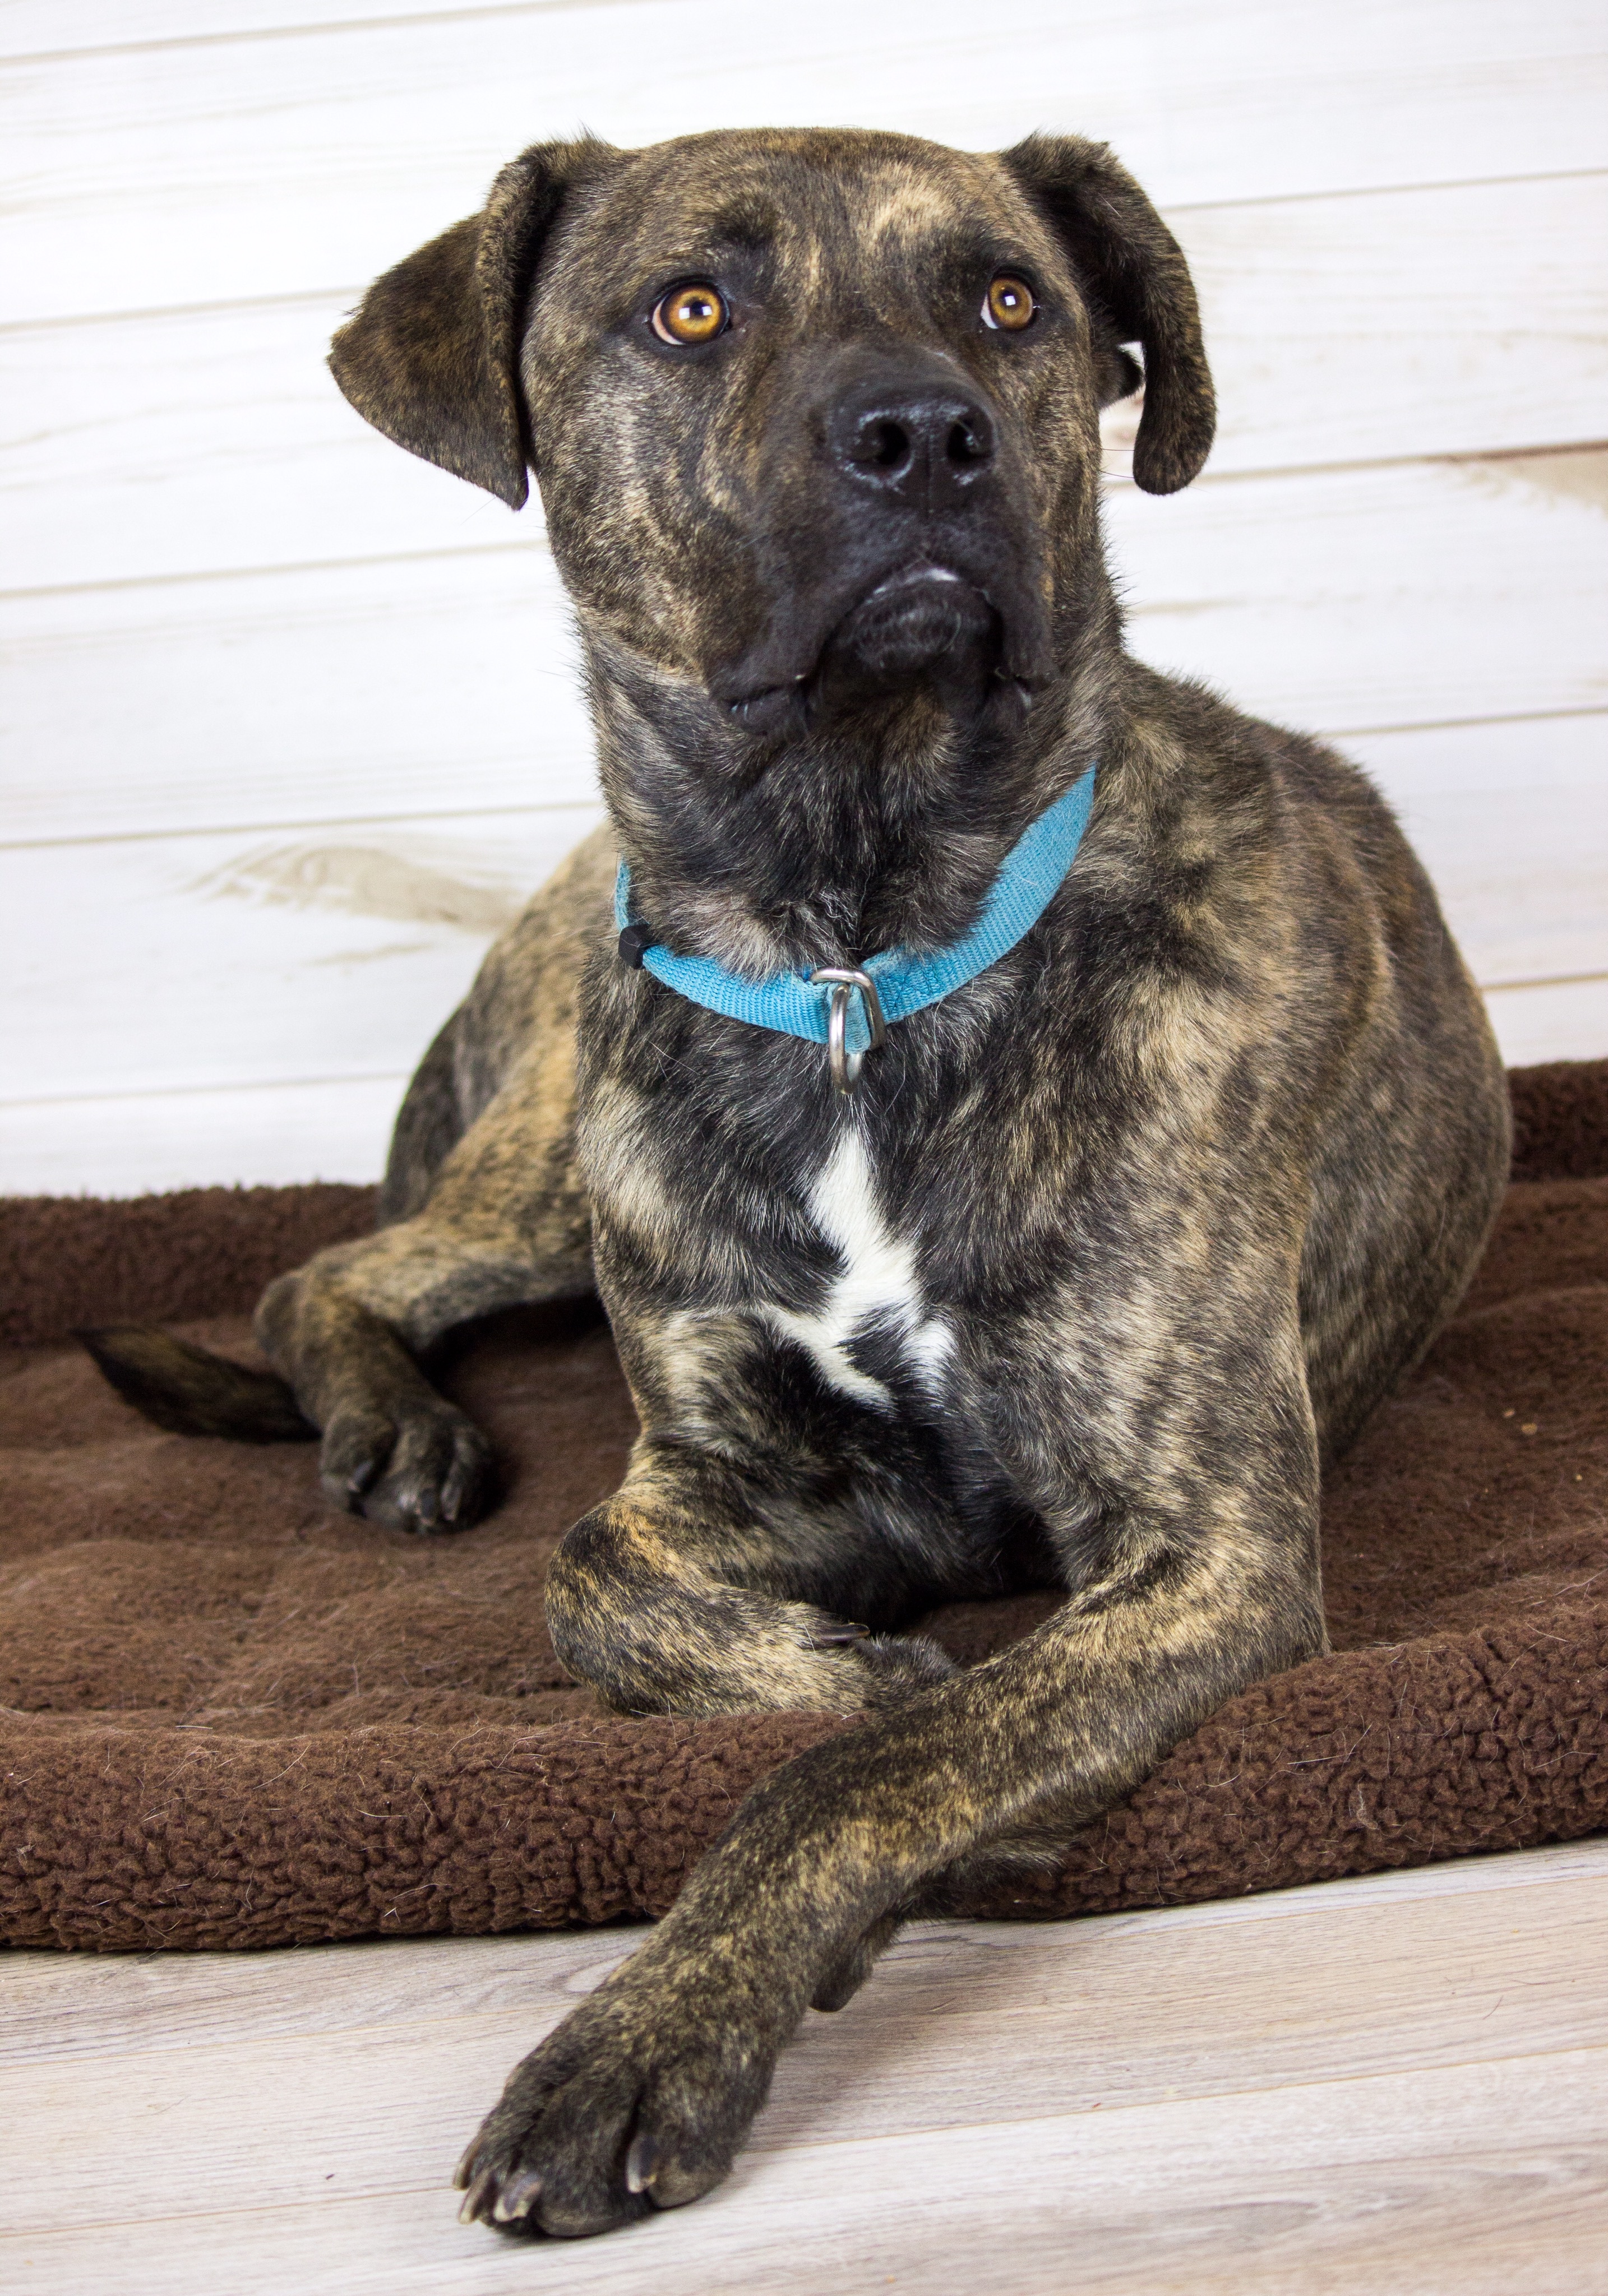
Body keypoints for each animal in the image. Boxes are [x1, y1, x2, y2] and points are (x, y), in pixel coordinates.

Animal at [94, 130, 1516, 2241]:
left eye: (1009, 299)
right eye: (689, 306)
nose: (921, 435)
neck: (856, 941)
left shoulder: (1207, 1548)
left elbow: (865, 1764)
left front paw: (642, 2030)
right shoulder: (710, 1478)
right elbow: (602, 1583)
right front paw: (849, 1670)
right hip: (561, 1156)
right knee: (325, 1274)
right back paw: (397, 1432)